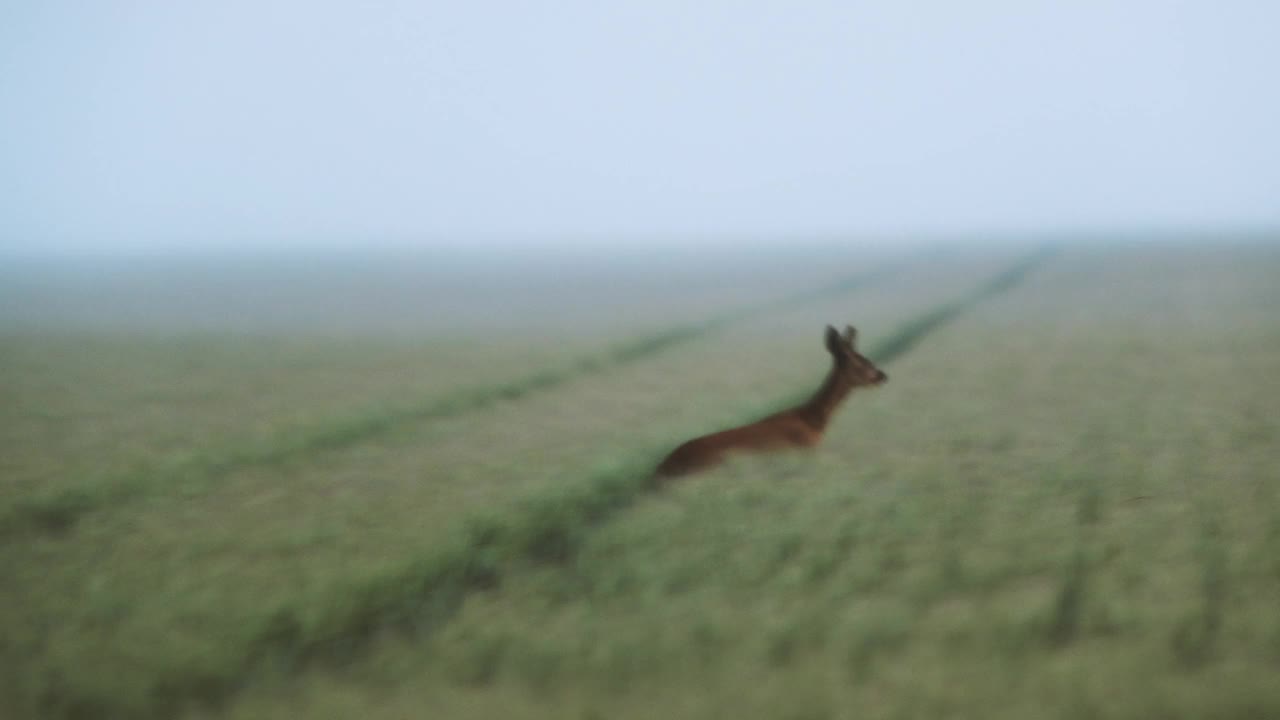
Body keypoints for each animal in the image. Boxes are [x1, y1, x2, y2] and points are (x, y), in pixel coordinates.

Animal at [655, 322, 885, 479]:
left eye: (866, 358)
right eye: (859, 362)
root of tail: (660, 470)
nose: (882, 376)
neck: (811, 419)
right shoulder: (805, 451)